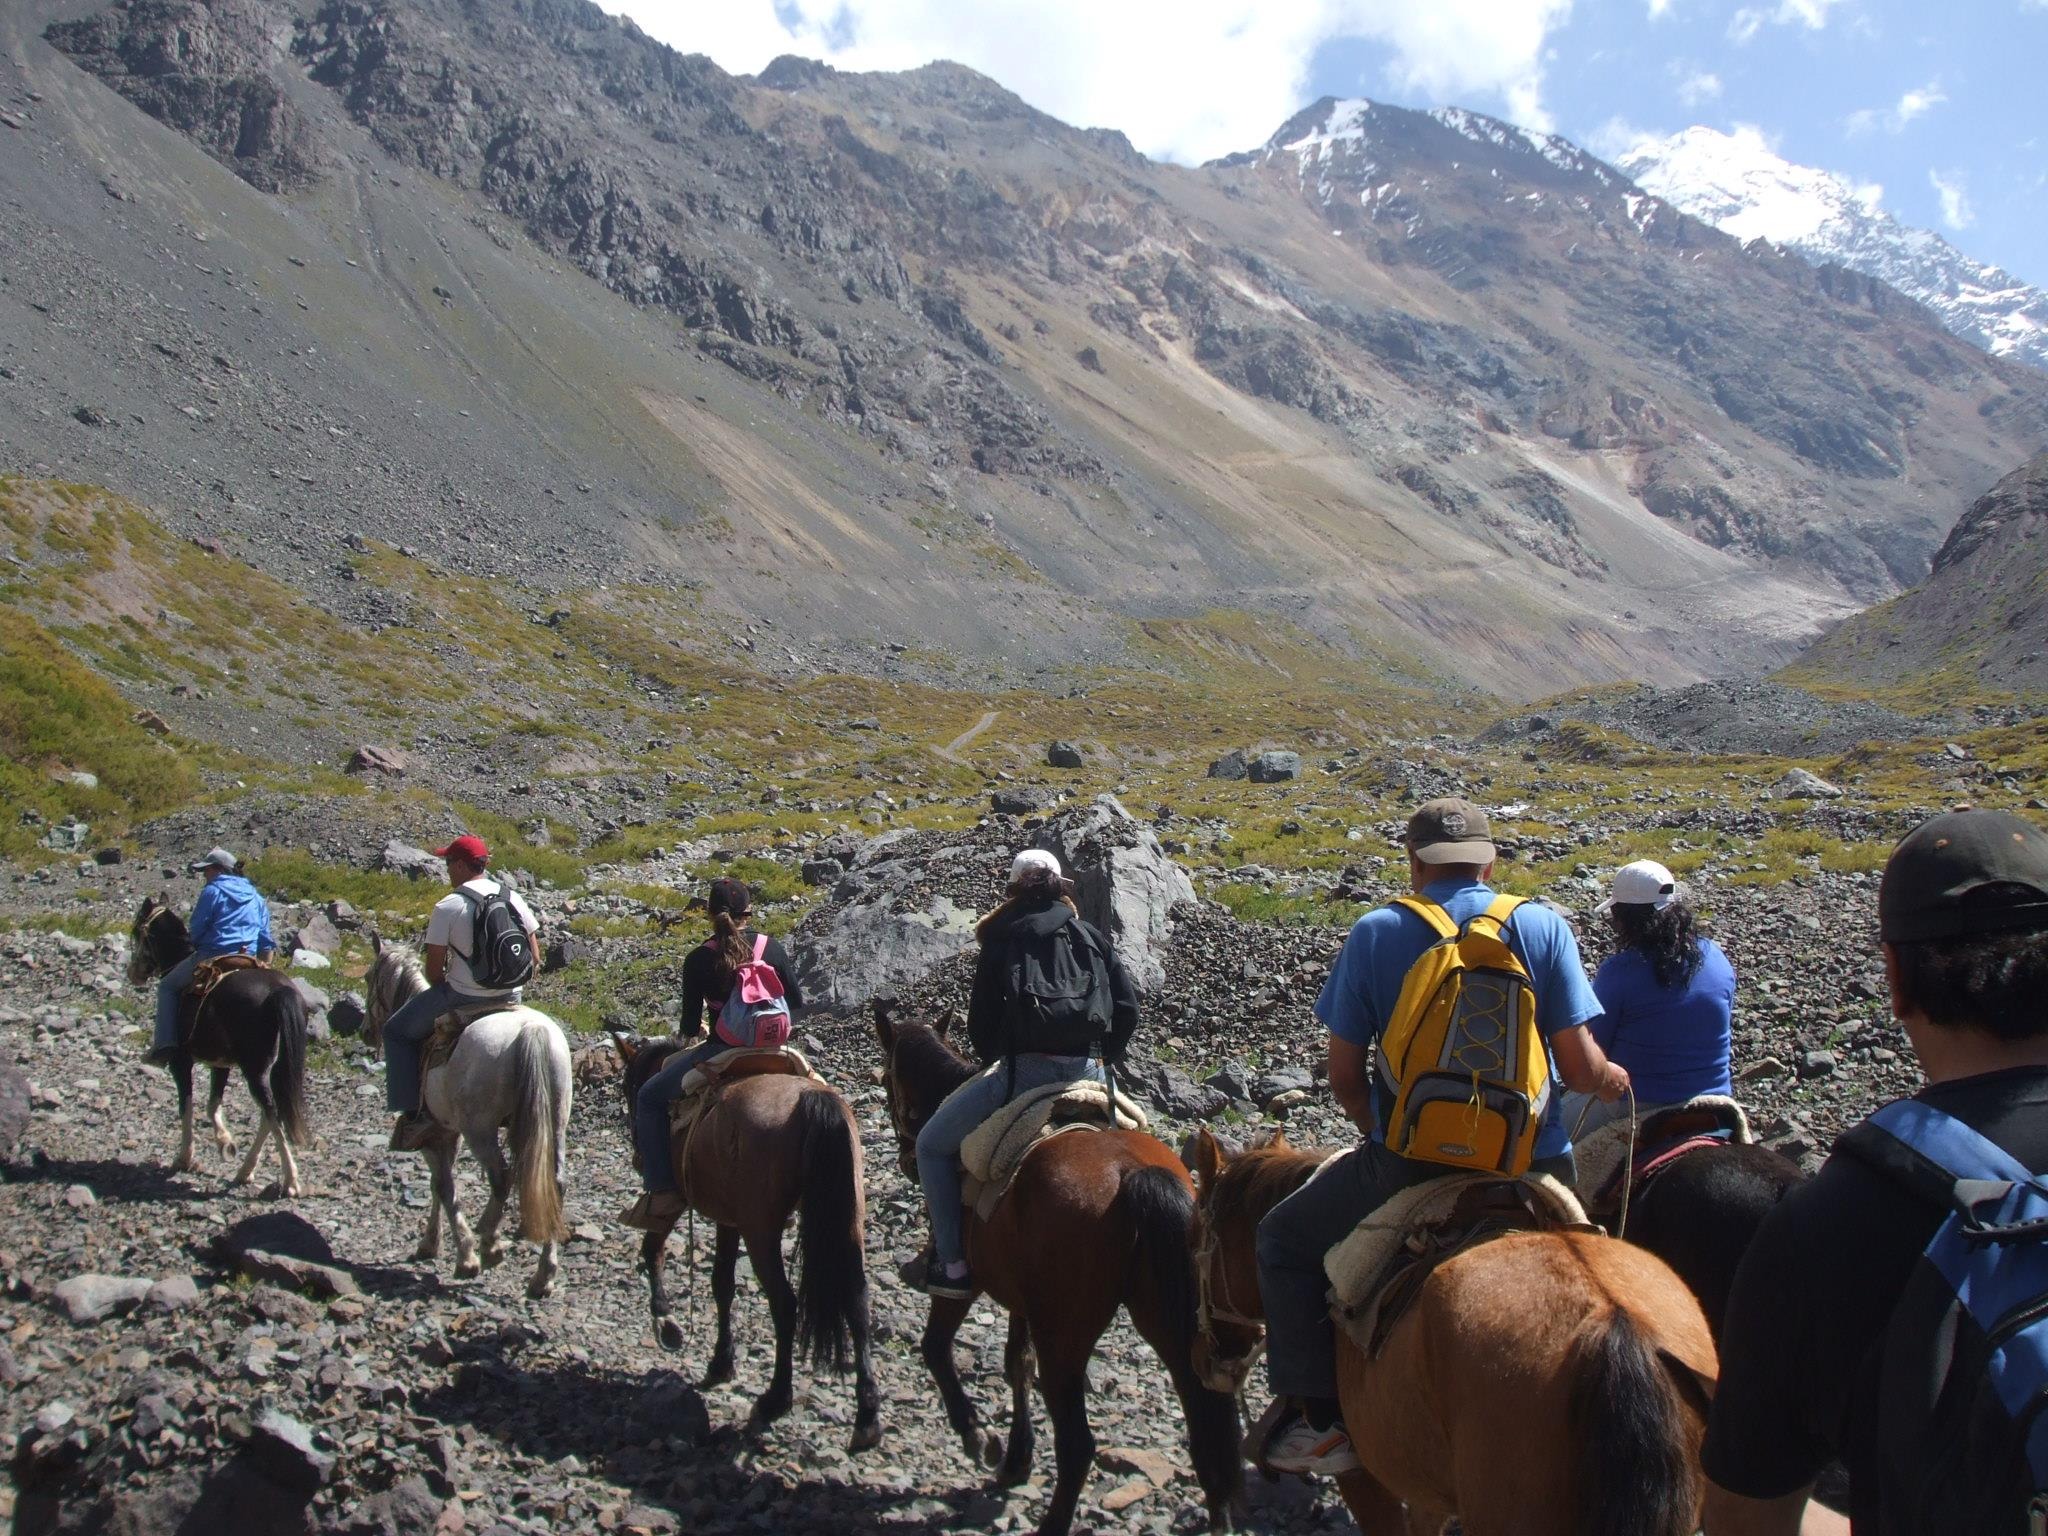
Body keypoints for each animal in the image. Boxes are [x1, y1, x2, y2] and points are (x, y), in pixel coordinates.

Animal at [128, 901, 309, 1204]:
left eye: (138, 934)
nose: (133, 973)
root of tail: (278, 991)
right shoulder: (220, 1064)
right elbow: (213, 1104)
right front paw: (226, 1143)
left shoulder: (182, 1062)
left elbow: (187, 1105)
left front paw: (185, 1158)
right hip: (272, 1066)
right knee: (270, 1112)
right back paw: (246, 1171)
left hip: (253, 1068)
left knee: (270, 1111)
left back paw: (291, 1181)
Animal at [364, 937, 573, 1302]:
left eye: (367, 978)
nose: (364, 1032)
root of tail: (531, 1031)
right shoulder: (448, 1133)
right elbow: (438, 1186)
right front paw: (430, 1245)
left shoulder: (434, 1134)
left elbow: (444, 1187)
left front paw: (464, 1257)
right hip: (554, 1122)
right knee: (554, 1183)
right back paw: (542, 1277)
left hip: (481, 1131)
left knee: (501, 1177)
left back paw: (490, 1244)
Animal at [606, 1036, 880, 1458]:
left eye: (629, 1089)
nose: (637, 1155)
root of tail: (812, 1104)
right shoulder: (729, 1219)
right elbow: (723, 1283)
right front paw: (720, 1360)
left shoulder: (687, 1200)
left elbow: (659, 1248)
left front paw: (669, 1322)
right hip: (847, 1221)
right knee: (857, 1301)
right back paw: (867, 1418)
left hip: (761, 1229)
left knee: (785, 1304)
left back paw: (775, 1398)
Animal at [872, 999, 1236, 1536]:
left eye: (885, 1079)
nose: (905, 1156)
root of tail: (1132, 1174)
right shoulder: (1024, 1299)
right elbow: (1016, 1365)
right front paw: (1016, 1458)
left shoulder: (966, 1281)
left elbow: (935, 1348)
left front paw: (979, 1438)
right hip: (1167, 1317)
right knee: (1202, 1418)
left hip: (1064, 1336)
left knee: (1078, 1443)